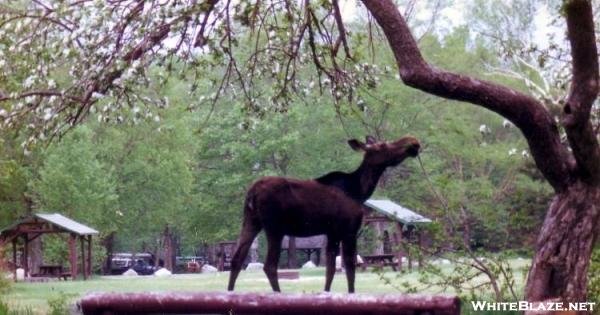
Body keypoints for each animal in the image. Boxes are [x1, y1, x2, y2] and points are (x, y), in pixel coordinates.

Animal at [227, 135, 420, 292]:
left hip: (251, 221)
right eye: (383, 146)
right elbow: (350, 269)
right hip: (274, 227)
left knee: (236, 259)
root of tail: (252, 192)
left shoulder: (332, 232)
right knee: (269, 266)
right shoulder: (349, 229)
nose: (413, 142)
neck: (360, 190)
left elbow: (330, 270)